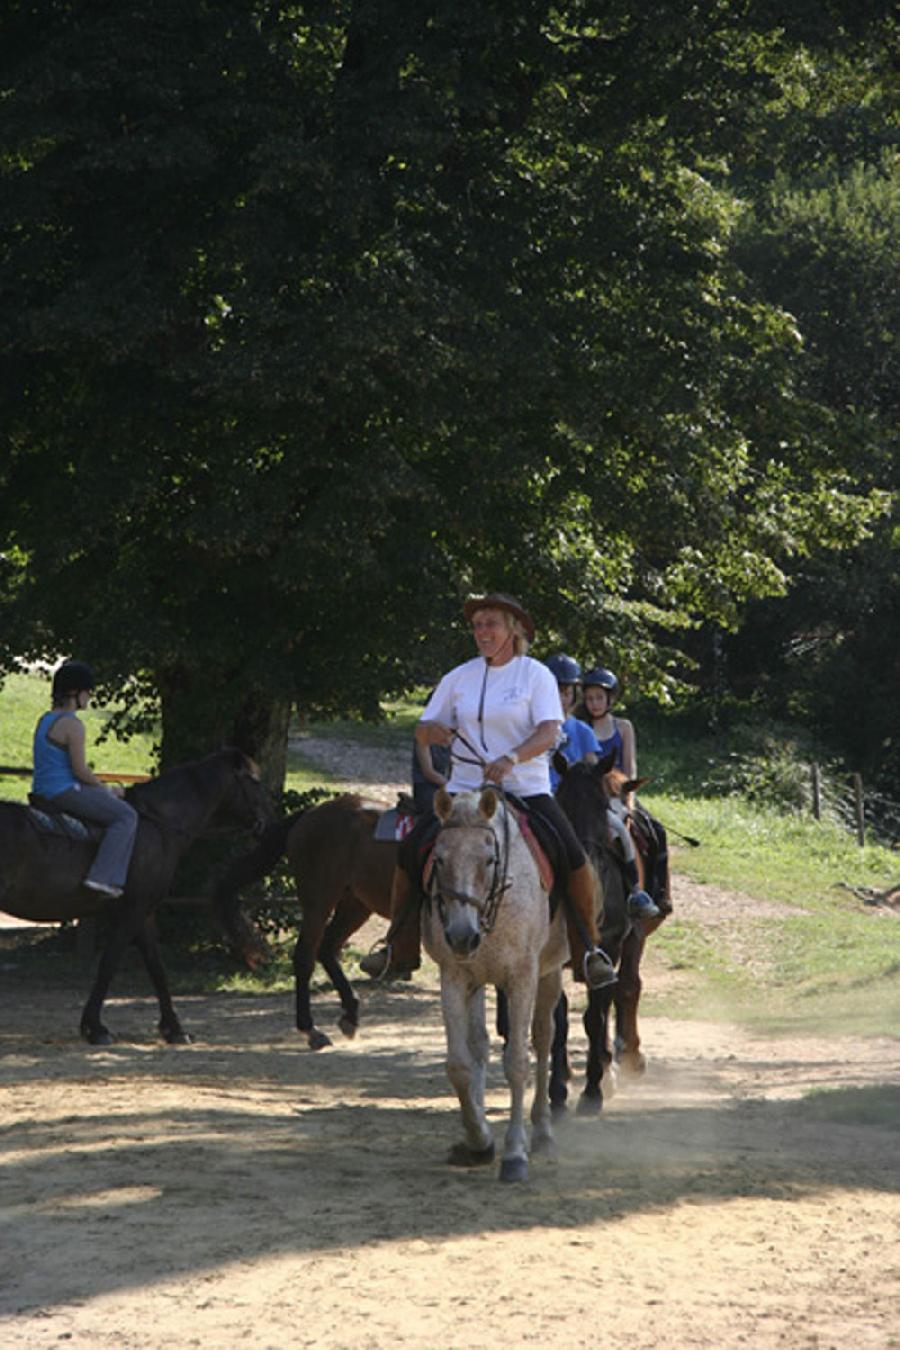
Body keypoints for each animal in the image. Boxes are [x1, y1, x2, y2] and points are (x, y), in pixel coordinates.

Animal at [1, 750, 272, 1042]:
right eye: (254, 781)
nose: (268, 818)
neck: (159, 825)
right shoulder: (133, 910)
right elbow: (108, 965)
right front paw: (95, 1028)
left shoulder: (145, 914)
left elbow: (157, 968)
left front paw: (174, 1029)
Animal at [423, 788, 569, 1177]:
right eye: (439, 859)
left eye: (489, 860)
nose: (462, 935)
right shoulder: (455, 977)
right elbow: (459, 1065)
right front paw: (480, 1141)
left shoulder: (522, 976)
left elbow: (517, 1062)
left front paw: (515, 1153)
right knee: (480, 1045)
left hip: (549, 975)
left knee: (544, 1038)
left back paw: (544, 1130)